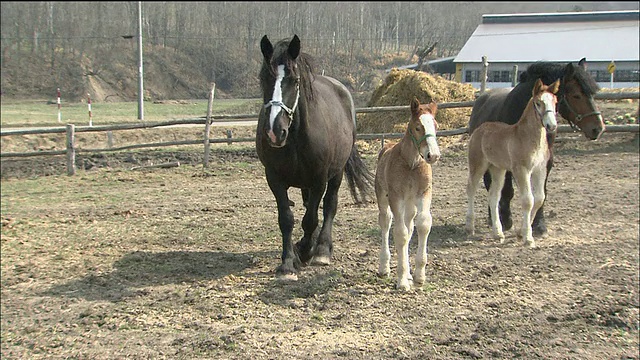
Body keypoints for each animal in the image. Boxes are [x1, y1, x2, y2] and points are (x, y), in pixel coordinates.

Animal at [256, 34, 376, 282]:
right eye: (264, 78)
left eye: (294, 80)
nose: (275, 131)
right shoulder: (274, 178)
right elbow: (287, 219)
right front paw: (288, 262)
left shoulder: (319, 179)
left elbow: (311, 218)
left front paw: (306, 250)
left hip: (336, 173)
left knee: (329, 205)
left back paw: (321, 249)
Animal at [468, 58, 604, 236]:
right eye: (576, 95)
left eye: (593, 95)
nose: (598, 128)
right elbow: (509, 191)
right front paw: (507, 221)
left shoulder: (545, 162)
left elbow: (541, 193)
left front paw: (538, 225)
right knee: (490, 186)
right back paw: (493, 219)